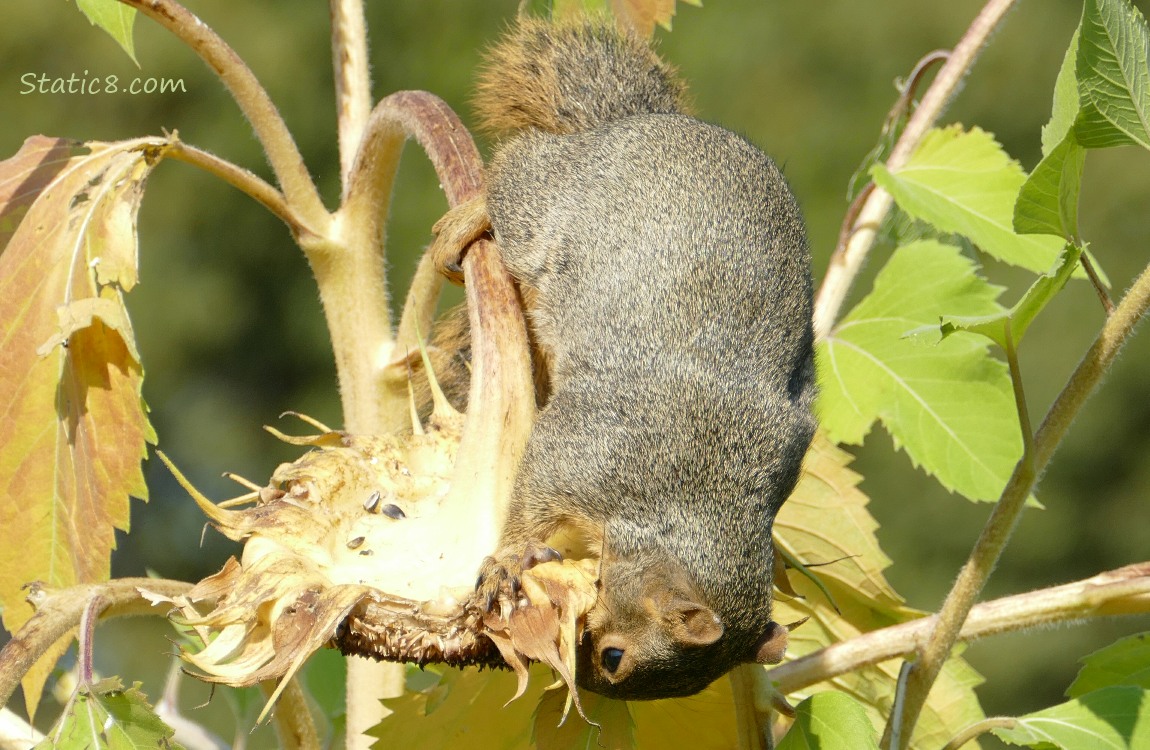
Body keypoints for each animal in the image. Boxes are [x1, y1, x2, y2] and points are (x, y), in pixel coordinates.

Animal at [425, 14, 818, 699]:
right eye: (615, 659)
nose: (588, 681)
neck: (687, 506)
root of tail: (633, 124)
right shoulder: (588, 455)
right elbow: (532, 493)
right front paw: (508, 558)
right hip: (548, 205)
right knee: (517, 166)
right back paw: (470, 217)